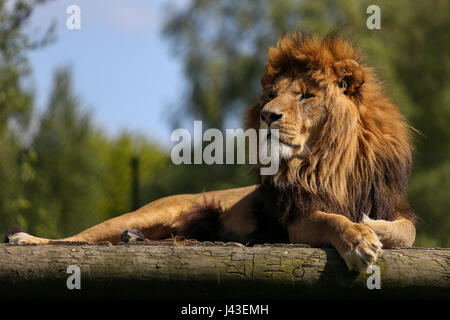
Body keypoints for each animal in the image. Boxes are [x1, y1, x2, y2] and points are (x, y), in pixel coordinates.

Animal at [7, 33, 416, 272]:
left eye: (305, 95)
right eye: (271, 95)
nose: (267, 115)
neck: (326, 161)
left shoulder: (388, 203)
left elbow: (405, 230)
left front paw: (371, 225)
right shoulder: (296, 220)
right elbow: (331, 219)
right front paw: (359, 238)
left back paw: (133, 239)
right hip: (156, 210)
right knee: (80, 238)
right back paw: (25, 239)